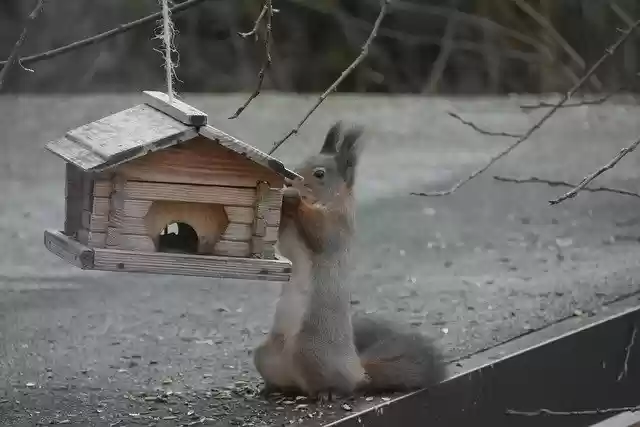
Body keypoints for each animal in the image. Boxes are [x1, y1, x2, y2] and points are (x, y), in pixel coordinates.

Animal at [253, 121, 447, 400]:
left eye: (319, 174)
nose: (289, 179)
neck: (327, 200)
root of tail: (357, 370)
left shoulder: (338, 226)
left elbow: (320, 231)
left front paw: (292, 197)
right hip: (266, 356)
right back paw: (272, 388)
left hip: (311, 354)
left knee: (339, 386)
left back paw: (328, 393)